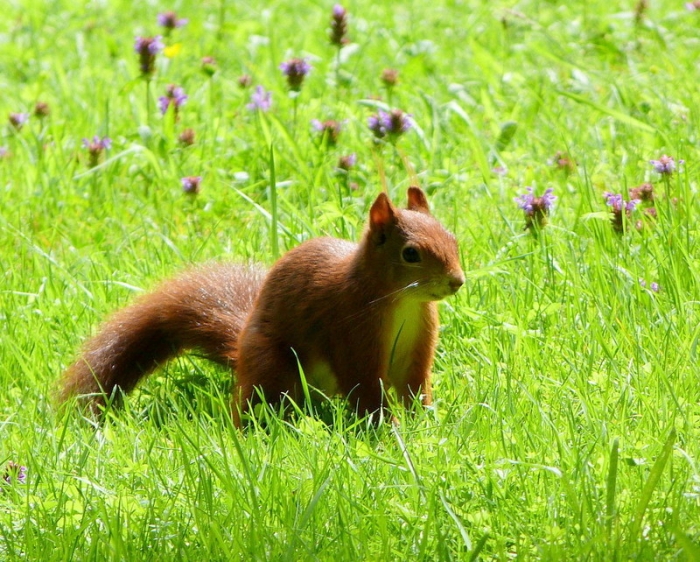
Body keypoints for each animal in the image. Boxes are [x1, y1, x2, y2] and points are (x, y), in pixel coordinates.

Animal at [60, 187, 465, 424]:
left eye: (453, 239)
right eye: (410, 253)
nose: (457, 281)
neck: (405, 303)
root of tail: (241, 354)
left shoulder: (417, 345)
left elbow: (415, 385)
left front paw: (425, 423)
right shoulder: (352, 333)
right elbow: (366, 388)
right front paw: (387, 430)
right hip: (272, 365)